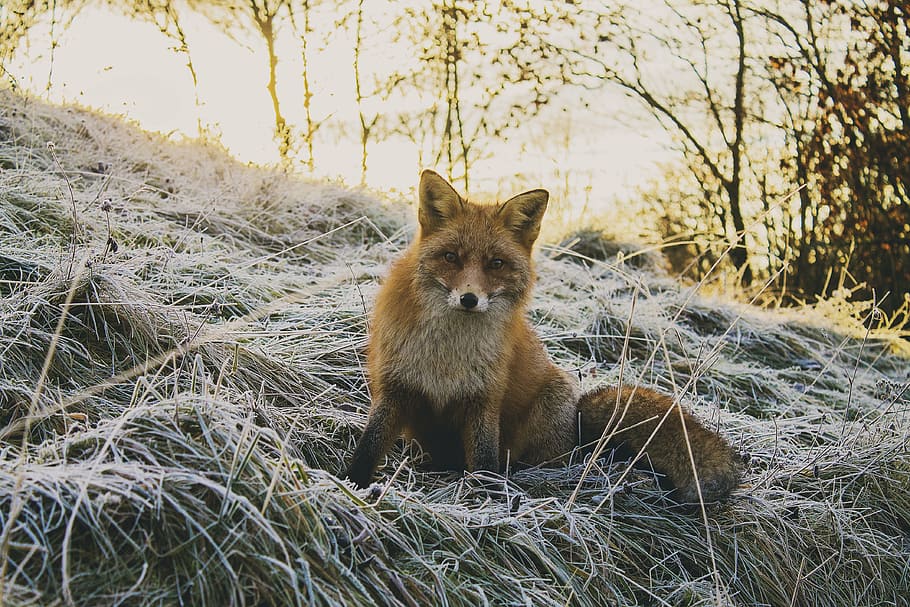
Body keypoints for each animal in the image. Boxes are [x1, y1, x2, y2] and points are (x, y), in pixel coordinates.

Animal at [345, 170, 740, 503]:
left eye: (496, 264)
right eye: (451, 257)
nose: (469, 299)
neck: (448, 353)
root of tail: (577, 433)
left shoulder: (484, 400)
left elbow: (485, 462)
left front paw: (488, 499)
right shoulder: (395, 387)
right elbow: (368, 445)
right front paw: (351, 486)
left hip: (548, 410)